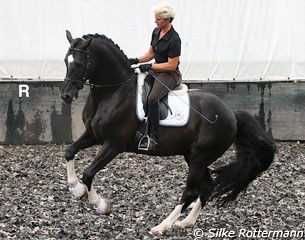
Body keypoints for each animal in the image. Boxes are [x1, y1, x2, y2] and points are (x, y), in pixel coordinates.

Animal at [60, 30, 274, 236]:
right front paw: (76, 188)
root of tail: (232, 114)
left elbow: (88, 173)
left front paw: (100, 204)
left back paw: (162, 226)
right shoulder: (93, 135)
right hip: (193, 156)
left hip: (200, 157)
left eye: (79, 63)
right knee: (206, 187)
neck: (114, 93)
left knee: (190, 192)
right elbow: (69, 152)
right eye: (65, 61)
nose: (66, 96)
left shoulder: (113, 144)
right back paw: (186, 222)